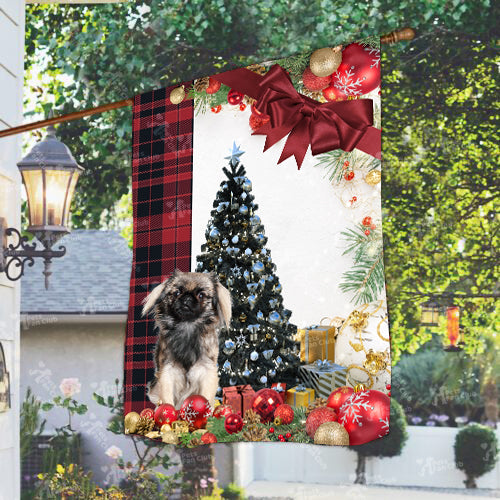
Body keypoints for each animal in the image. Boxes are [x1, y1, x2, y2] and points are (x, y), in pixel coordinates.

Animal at [142, 272, 231, 408]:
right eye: (177, 292)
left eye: (201, 295)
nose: (187, 298)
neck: (187, 326)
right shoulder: (167, 373)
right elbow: (167, 399)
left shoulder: (207, 372)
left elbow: (205, 396)